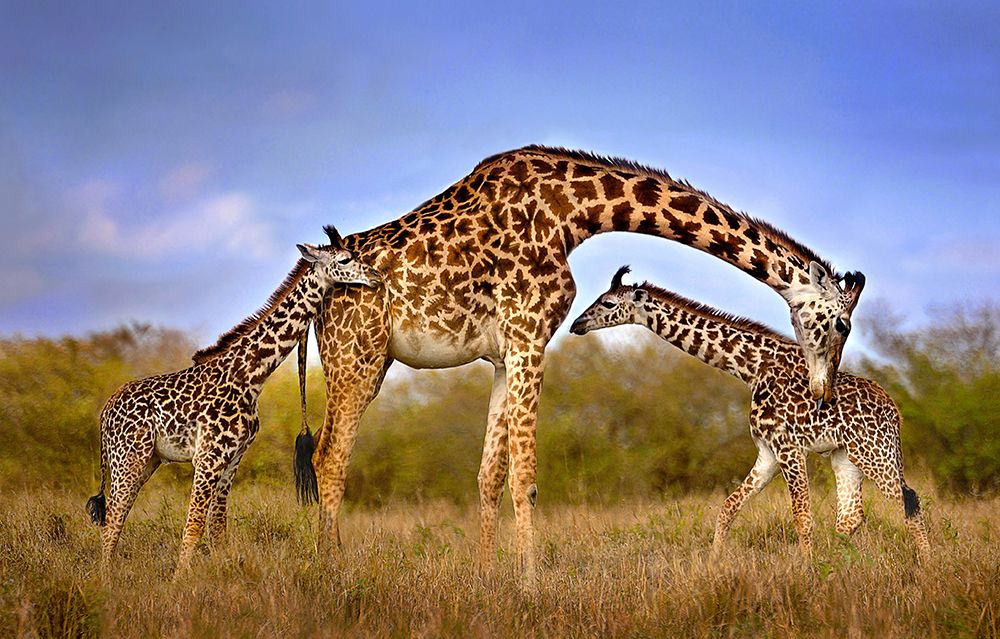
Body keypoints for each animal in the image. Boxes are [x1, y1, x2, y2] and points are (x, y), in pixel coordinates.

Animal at [85, 227, 380, 574]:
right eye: (345, 259)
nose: (376, 276)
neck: (249, 376)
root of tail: (105, 412)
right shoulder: (208, 457)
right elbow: (194, 525)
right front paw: (179, 582)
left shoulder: (233, 458)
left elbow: (217, 528)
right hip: (129, 457)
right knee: (113, 519)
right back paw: (105, 580)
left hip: (147, 461)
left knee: (117, 516)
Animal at [303, 146, 866, 583]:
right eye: (841, 325)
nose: (822, 392)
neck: (574, 210)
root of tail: (315, 289)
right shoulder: (530, 332)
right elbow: (525, 476)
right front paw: (531, 586)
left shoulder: (505, 352)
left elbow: (489, 475)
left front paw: (487, 579)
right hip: (359, 356)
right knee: (330, 457)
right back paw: (333, 574)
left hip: (361, 361)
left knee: (327, 453)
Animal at [569, 266, 930, 562]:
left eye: (608, 304)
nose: (577, 324)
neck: (752, 368)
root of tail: (893, 411)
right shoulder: (767, 453)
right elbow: (728, 506)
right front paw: (713, 565)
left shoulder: (788, 448)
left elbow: (802, 516)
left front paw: (809, 574)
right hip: (846, 456)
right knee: (850, 516)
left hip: (874, 451)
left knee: (908, 499)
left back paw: (926, 567)